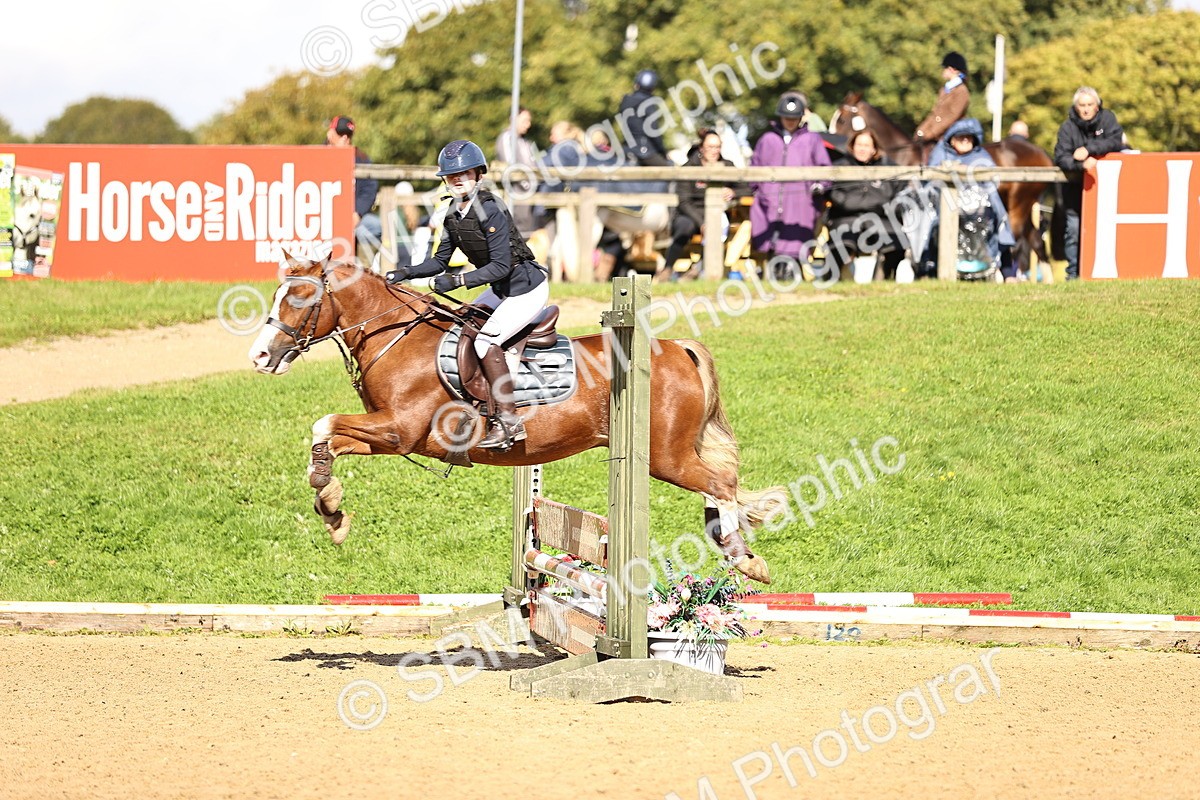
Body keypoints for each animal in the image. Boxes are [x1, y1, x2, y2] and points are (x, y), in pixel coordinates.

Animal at [247, 253, 781, 583]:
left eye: (299, 300)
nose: (259, 357)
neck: (397, 336)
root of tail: (676, 347)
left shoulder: (399, 429)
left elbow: (325, 423)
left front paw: (329, 502)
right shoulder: (389, 433)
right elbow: (327, 436)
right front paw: (331, 507)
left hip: (663, 456)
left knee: (721, 484)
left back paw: (743, 559)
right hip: (669, 455)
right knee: (718, 485)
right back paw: (735, 548)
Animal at [829, 92, 1053, 273]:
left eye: (842, 119)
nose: (832, 144)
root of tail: (1040, 152)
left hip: (1018, 205)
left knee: (1016, 245)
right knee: (1036, 242)